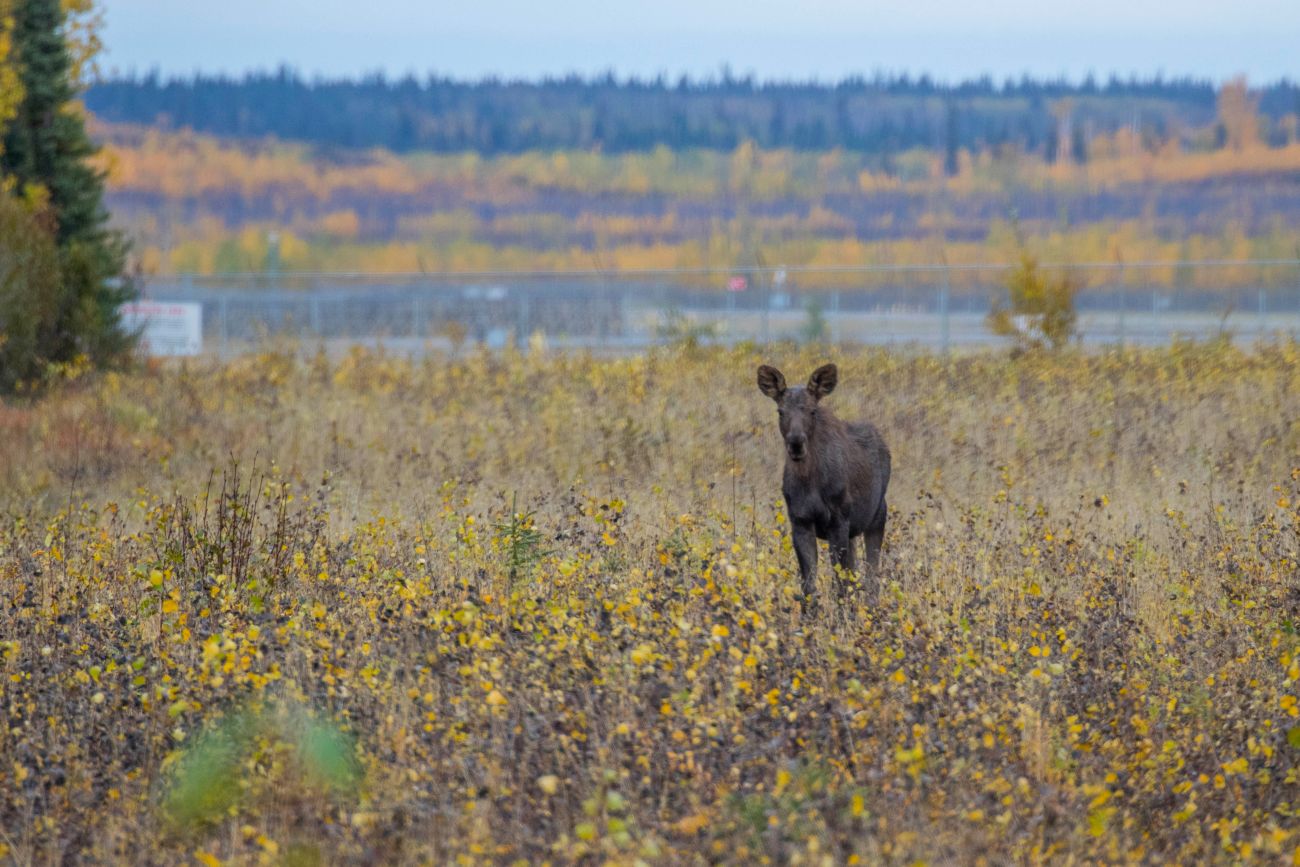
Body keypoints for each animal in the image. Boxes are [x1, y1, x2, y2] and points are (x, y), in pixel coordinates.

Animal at [759, 363, 889, 608]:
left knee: (872, 576)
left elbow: (840, 584)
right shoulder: (800, 521)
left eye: (812, 411)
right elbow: (809, 585)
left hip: (876, 517)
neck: (809, 482)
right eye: (780, 411)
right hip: (853, 531)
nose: (796, 443)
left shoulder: (838, 521)